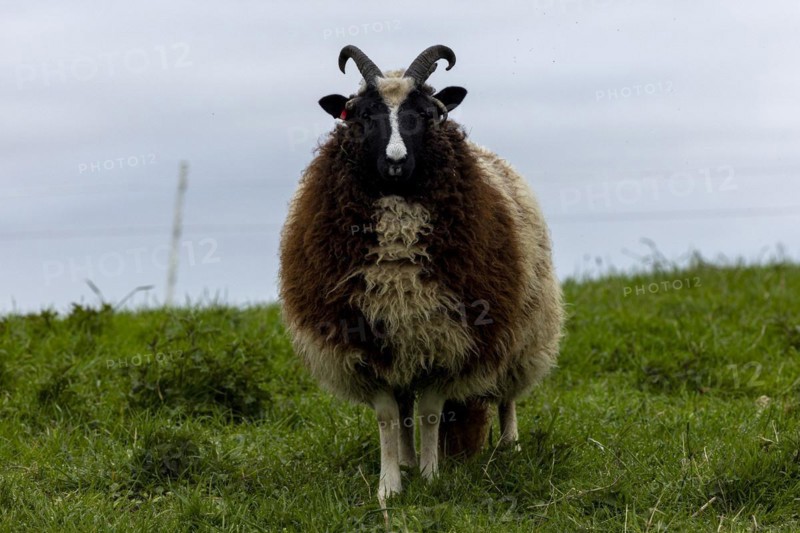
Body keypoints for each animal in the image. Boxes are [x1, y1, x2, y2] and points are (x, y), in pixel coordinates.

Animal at [278, 44, 564, 503]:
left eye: (428, 114)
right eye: (362, 114)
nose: (396, 162)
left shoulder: (448, 339)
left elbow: (431, 413)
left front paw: (432, 479)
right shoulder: (365, 344)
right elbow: (388, 416)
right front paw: (390, 486)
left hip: (523, 333)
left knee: (506, 395)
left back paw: (509, 446)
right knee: (403, 407)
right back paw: (408, 460)